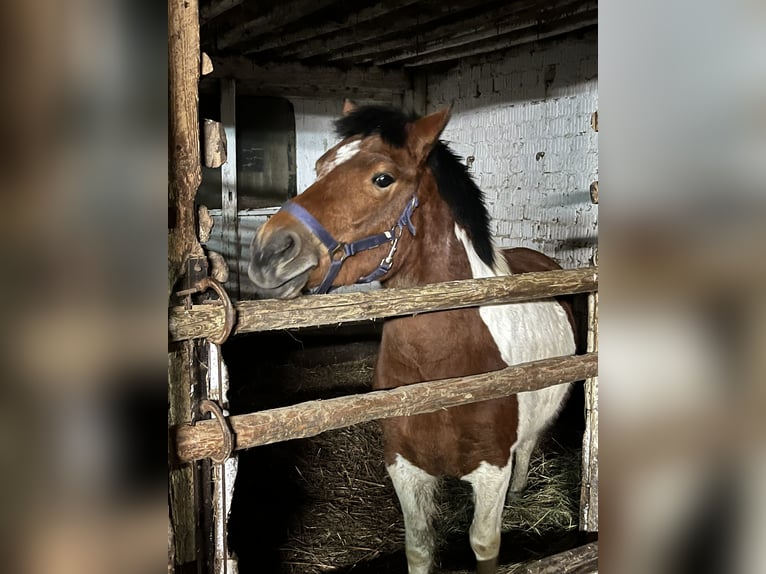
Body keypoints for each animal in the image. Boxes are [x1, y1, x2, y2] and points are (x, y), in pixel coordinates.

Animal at [249, 103, 580, 574]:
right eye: (321, 166)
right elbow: (420, 547)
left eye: (382, 178)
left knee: (530, 444)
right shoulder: (404, 468)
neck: (442, 374)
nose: (268, 251)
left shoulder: (491, 469)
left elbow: (484, 544)